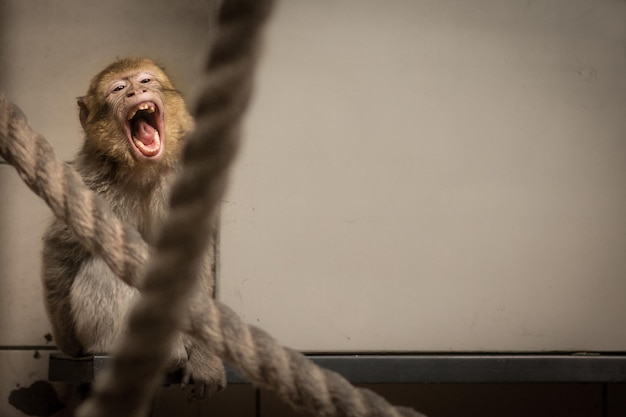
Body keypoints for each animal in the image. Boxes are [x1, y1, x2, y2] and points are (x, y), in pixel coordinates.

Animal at [40, 57, 224, 398]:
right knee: (104, 265)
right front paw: (68, 343)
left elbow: (193, 260)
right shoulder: (89, 183)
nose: (135, 92)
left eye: (145, 81)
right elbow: (60, 251)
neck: (142, 170)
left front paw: (206, 359)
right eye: (118, 89)